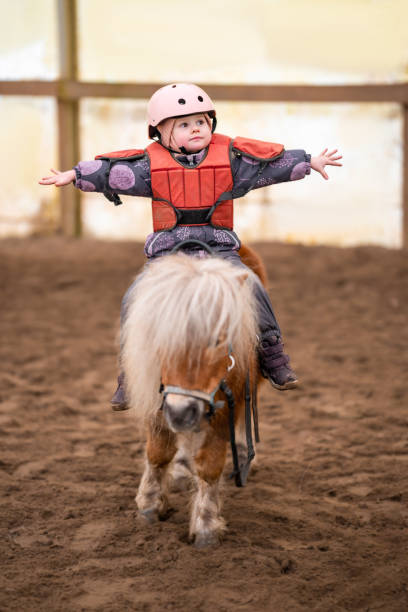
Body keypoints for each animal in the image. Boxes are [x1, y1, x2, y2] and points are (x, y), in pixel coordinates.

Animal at [122, 246, 266, 548]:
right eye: (163, 337)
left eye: (218, 339)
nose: (181, 412)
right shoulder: (159, 399)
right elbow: (158, 453)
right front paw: (149, 505)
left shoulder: (227, 407)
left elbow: (210, 465)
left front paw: (206, 526)